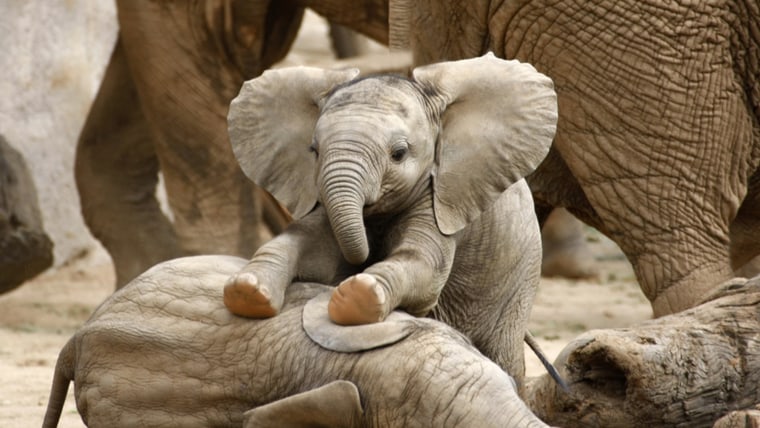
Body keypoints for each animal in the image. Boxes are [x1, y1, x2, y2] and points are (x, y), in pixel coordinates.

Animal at [223, 53, 556, 378]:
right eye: (313, 151)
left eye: (399, 154)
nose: (363, 258)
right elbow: (309, 244)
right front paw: (246, 290)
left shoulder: (443, 196)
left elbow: (423, 265)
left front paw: (357, 295)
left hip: (520, 279)